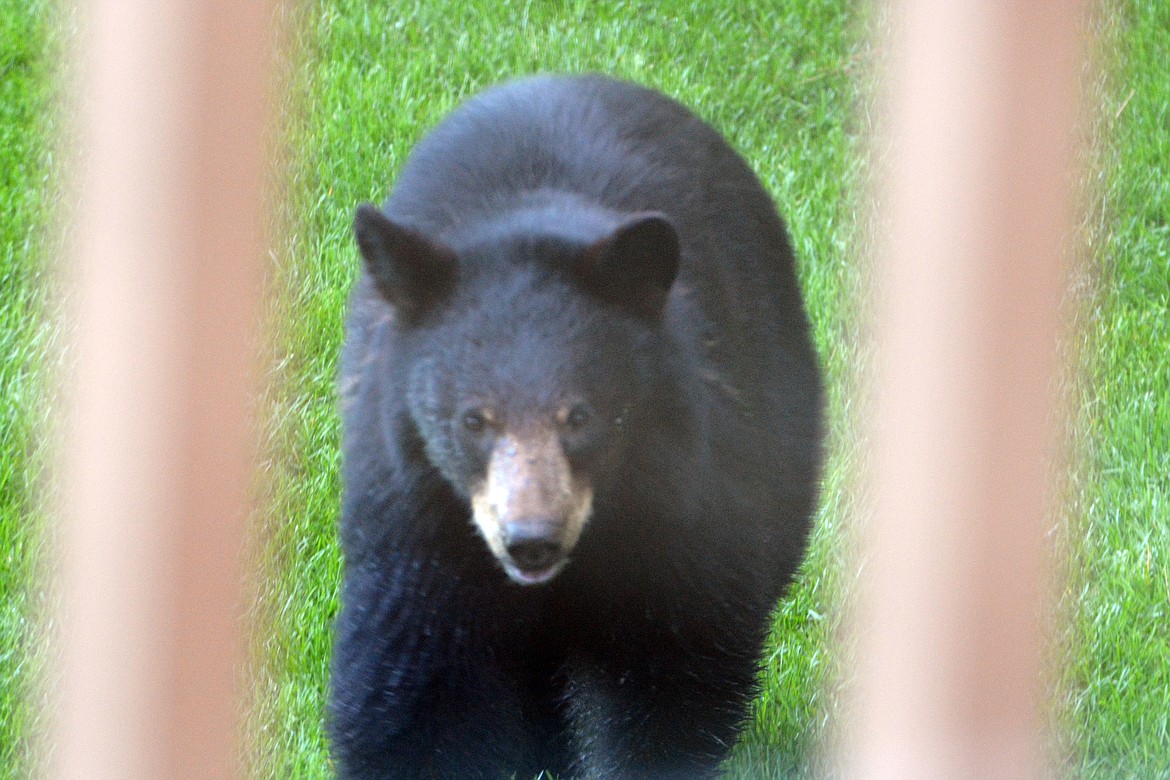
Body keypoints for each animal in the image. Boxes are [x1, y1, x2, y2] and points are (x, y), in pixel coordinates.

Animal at [329, 74, 823, 780]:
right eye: (473, 420)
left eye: (581, 415)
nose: (530, 540)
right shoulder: (416, 511)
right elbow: (418, 677)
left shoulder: (683, 497)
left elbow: (669, 666)